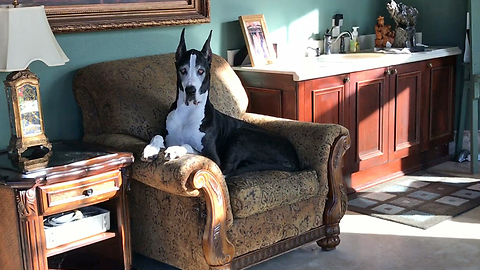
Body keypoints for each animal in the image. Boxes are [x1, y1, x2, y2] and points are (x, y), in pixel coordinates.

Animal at [142, 29, 300, 177]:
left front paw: (175, 149)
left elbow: (189, 145)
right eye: (183, 70)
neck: (187, 112)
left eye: (201, 71)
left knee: (226, 169)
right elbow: (157, 136)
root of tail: (295, 160)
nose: (190, 90)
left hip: (241, 135)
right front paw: (151, 149)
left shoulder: (213, 158)